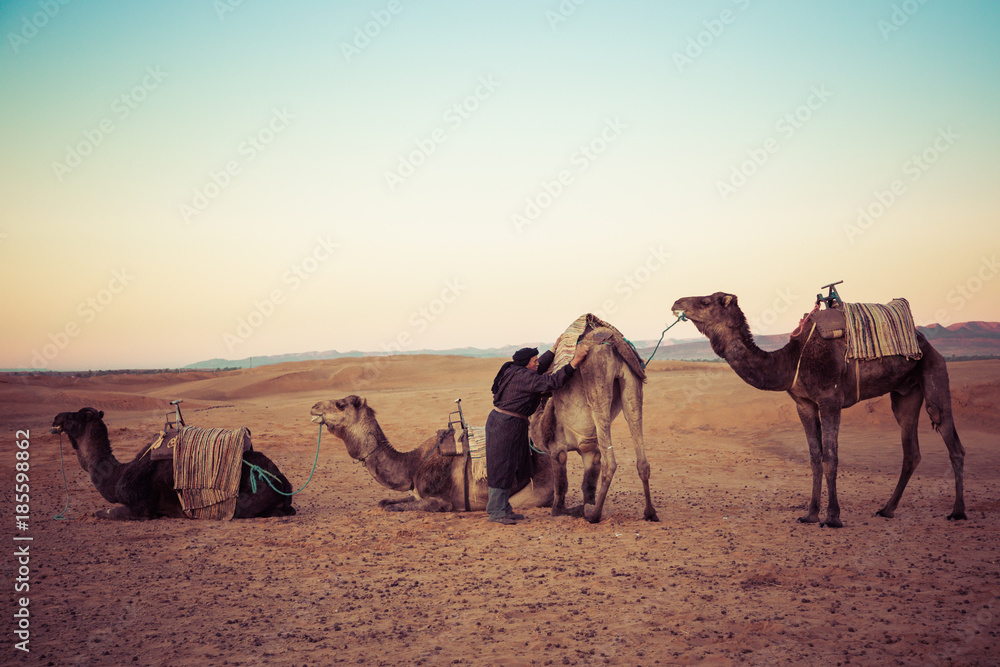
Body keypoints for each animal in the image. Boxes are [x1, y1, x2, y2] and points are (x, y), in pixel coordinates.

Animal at [51, 407, 296, 520]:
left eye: (73, 416)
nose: (56, 418)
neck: (118, 474)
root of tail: (283, 482)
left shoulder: (140, 507)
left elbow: (102, 512)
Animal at [310, 395, 554, 512]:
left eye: (340, 405)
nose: (314, 407)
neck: (413, 464)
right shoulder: (417, 493)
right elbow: (383, 502)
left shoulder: (441, 501)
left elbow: (391, 508)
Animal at [529, 326, 659, 524]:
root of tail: (613, 340)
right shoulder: (590, 450)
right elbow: (588, 485)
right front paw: (584, 506)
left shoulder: (557, 447)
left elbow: (562, 484)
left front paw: (560, 511)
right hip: (632, 385)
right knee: (641, 455)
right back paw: (650, 513)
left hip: (597, 381)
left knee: (610, 462)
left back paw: (595, 515)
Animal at [670, 292, 966, 528]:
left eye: (706, 301)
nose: (676, 302)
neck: (790, 361)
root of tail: (924, 340)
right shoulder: (804, 404)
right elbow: (814, 457)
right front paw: (810, 514)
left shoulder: (829, 398)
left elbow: (830, 457)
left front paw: (833, 517)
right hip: (904, 393)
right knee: (911, 450)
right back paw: (887, 509)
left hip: (934, 369)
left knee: (951, 438)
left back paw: (958, 512)